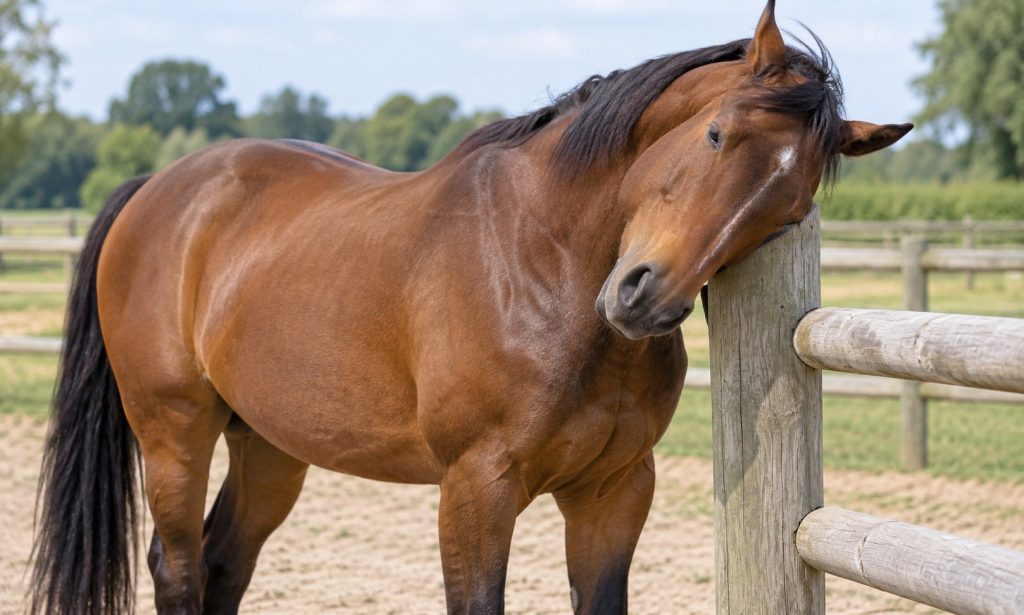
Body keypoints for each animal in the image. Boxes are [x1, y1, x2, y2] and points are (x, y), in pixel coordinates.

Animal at [30, 2, 910, 613]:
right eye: (718, 135)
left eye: (788, 209)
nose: (643, 297)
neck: (546, 263)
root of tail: (160, 187)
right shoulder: (475, 488)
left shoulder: (616, 489)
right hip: (174, 432)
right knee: (177, 567)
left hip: (271, 444)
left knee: (222, 563)